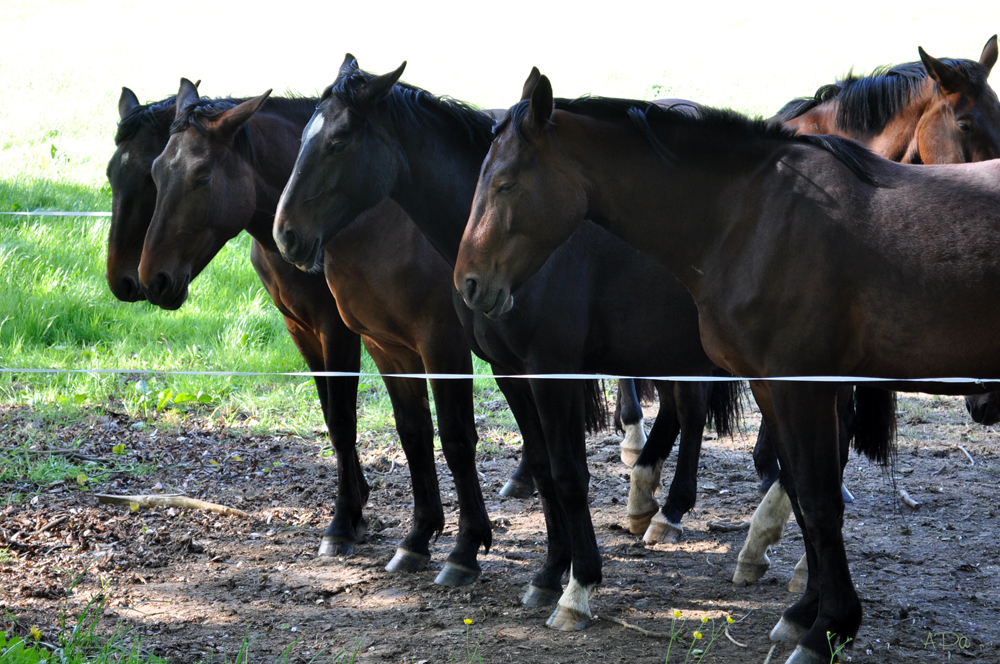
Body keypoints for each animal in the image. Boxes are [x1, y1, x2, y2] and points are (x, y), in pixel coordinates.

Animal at [130, 79, 500, 588]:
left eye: (201, 176)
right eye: (155, 172)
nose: (152, 280)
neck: (382, 221)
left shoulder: (426, 343)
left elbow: (450, 435)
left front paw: (452, 545)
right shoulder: (350, 338)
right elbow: (393, 429)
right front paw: (392, 530)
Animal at [264, 55, 892, 628]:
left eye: (338, 140)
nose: (286, 234)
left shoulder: (546, 369)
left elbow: (565, 472)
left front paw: (574, 583)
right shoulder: (509, 371)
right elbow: (542, 468)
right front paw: (548, 572)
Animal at [456, 70, 1000, 660]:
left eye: (505, 183)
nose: (468, 282)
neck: (749, 219)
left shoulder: (802, 386)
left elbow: (819, 502)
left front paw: (830, 627)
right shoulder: (775, 386)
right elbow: (803, 496)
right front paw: (804, 612)